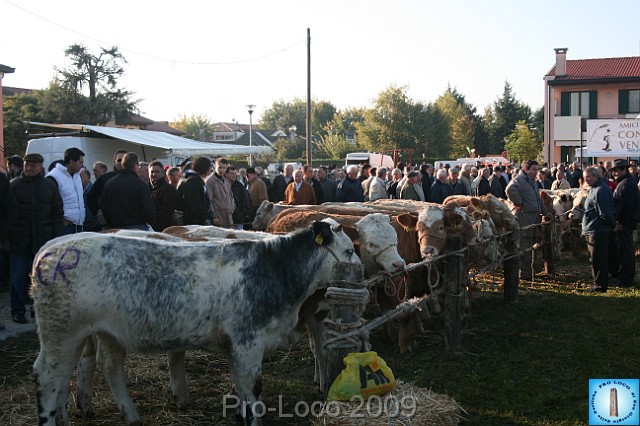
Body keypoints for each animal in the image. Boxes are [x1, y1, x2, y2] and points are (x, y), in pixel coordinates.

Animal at [31, 220, 360, 426]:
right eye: (348, 250)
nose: (360, 276)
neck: (275, 268)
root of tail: (49, 250)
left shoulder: (234, 345)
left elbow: (240, 386)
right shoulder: (249, 339)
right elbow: (253, 386)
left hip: (95, 334)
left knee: (88, 371)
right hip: (61, 333)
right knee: (47, 376)